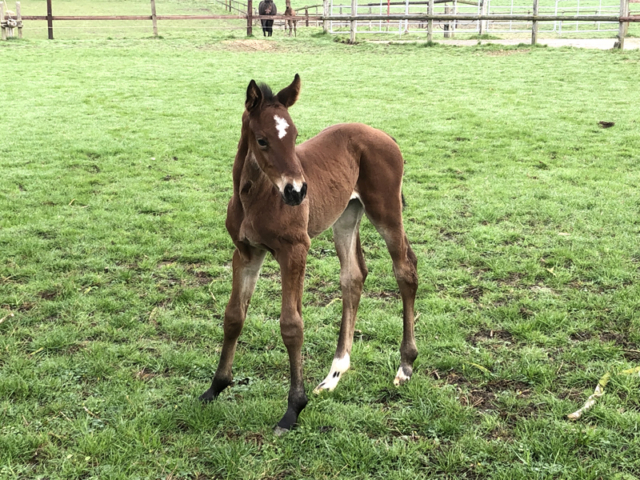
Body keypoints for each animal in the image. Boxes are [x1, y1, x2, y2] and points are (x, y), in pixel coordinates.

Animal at [200, 75, 420, 436]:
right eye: (262, 140)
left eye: (294, 135)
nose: (297, 191)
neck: (256, 197)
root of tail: (383, 134)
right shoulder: (245, 252)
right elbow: (233, 316)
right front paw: (215, 387)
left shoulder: (295, 250)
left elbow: (291, 325)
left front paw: (293, 408)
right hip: (346, 215)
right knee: (353, 277)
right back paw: (334, 374)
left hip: (386, 210)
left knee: (405, 269)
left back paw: (405, 365)